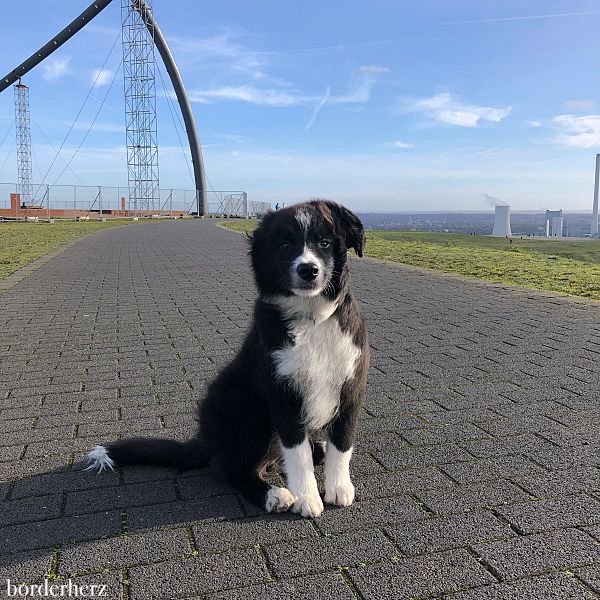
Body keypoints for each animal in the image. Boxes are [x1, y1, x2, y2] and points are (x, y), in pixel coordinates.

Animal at [86, 199, 368, 516]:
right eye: (284, 245)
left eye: (324, 242)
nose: (308, 270)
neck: (312, 318)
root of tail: (207, 440)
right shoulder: (281, 392)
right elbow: (297, 452)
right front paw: (307, 498)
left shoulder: (351, 385)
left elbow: (342, 444)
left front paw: (339, 488)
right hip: (242, 405)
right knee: (232, 469)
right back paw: (273, 495)